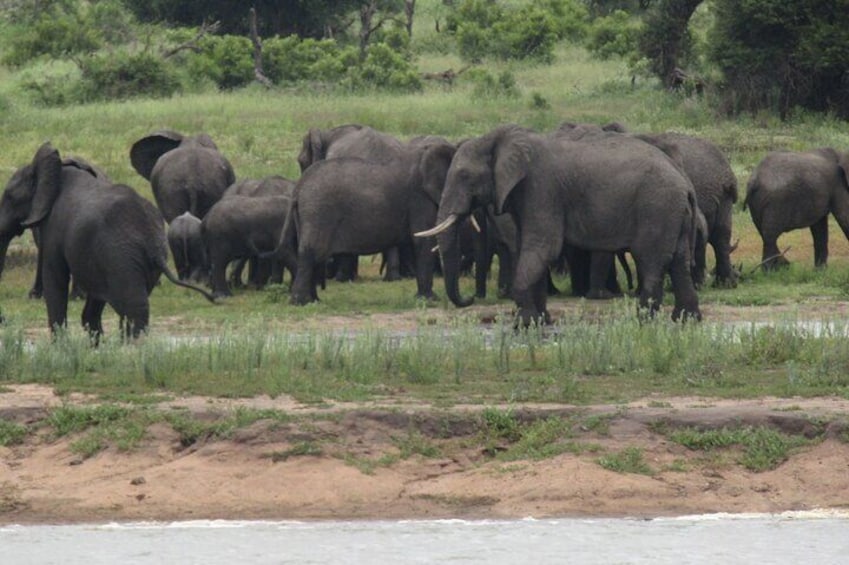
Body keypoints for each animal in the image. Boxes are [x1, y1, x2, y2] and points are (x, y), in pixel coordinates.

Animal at [0, 143, 212, 342]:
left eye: (9, 196)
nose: (4, 320)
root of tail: (153, 244)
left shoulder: (53, 227)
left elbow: (55, 274)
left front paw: (61, 347)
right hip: (138, 262)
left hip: (121, 257)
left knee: (133, 307)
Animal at [284, 134, 458, 304]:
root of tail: (298, 188)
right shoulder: (420, 199)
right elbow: (423, 241)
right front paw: (430, 300)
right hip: (318, 211)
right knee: (311, 252)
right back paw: (301, 302)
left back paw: (314, 300)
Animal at [420, 123, 704, 326]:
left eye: (464, 176)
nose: (469, 299)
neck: (498, 139)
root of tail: (686, 183)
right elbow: (528, 248)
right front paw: (539, 321)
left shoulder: (542, 188)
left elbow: (542, 248)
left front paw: (523, 324)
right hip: (674, 212)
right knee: (679, 261)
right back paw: (686, 319)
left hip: (657, 208)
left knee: (652, 260)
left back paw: (643, 321)